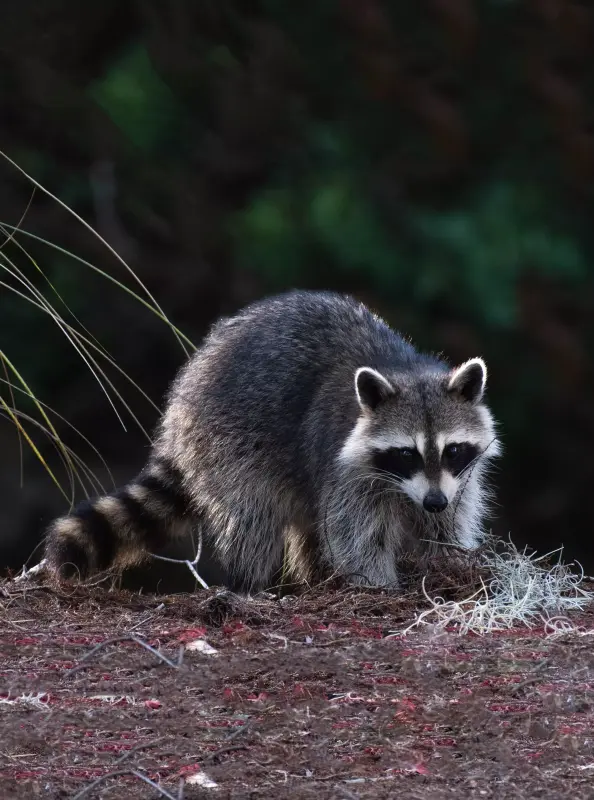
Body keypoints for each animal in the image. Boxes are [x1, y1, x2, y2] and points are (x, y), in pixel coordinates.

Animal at [45, 290, 500, 592]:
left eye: (452, 450)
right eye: (406, 453)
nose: (433, 500)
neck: (405, 370)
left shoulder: (456, 479)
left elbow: (447, 521)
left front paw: (450, 562)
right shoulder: (344, 465)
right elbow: (357, 533)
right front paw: (378, 585)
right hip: (229, 439)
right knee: (254, 515)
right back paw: (250, 584)